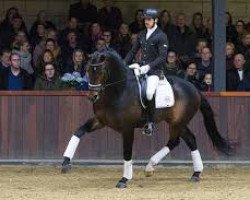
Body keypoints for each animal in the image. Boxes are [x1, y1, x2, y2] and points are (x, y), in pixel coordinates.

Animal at [61, 49, 233, 188]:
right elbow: (78, 131)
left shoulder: (127, 128)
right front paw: (65, 162)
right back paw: (187, 172)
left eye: (101, 71)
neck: (118, 91)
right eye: (88, 70)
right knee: (188, 140)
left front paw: (124, 179)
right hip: (176, 122)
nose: (92, 96)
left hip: (178, 122)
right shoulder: (100, 121)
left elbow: (127, 152)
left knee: (177, 140)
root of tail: (194, 88)